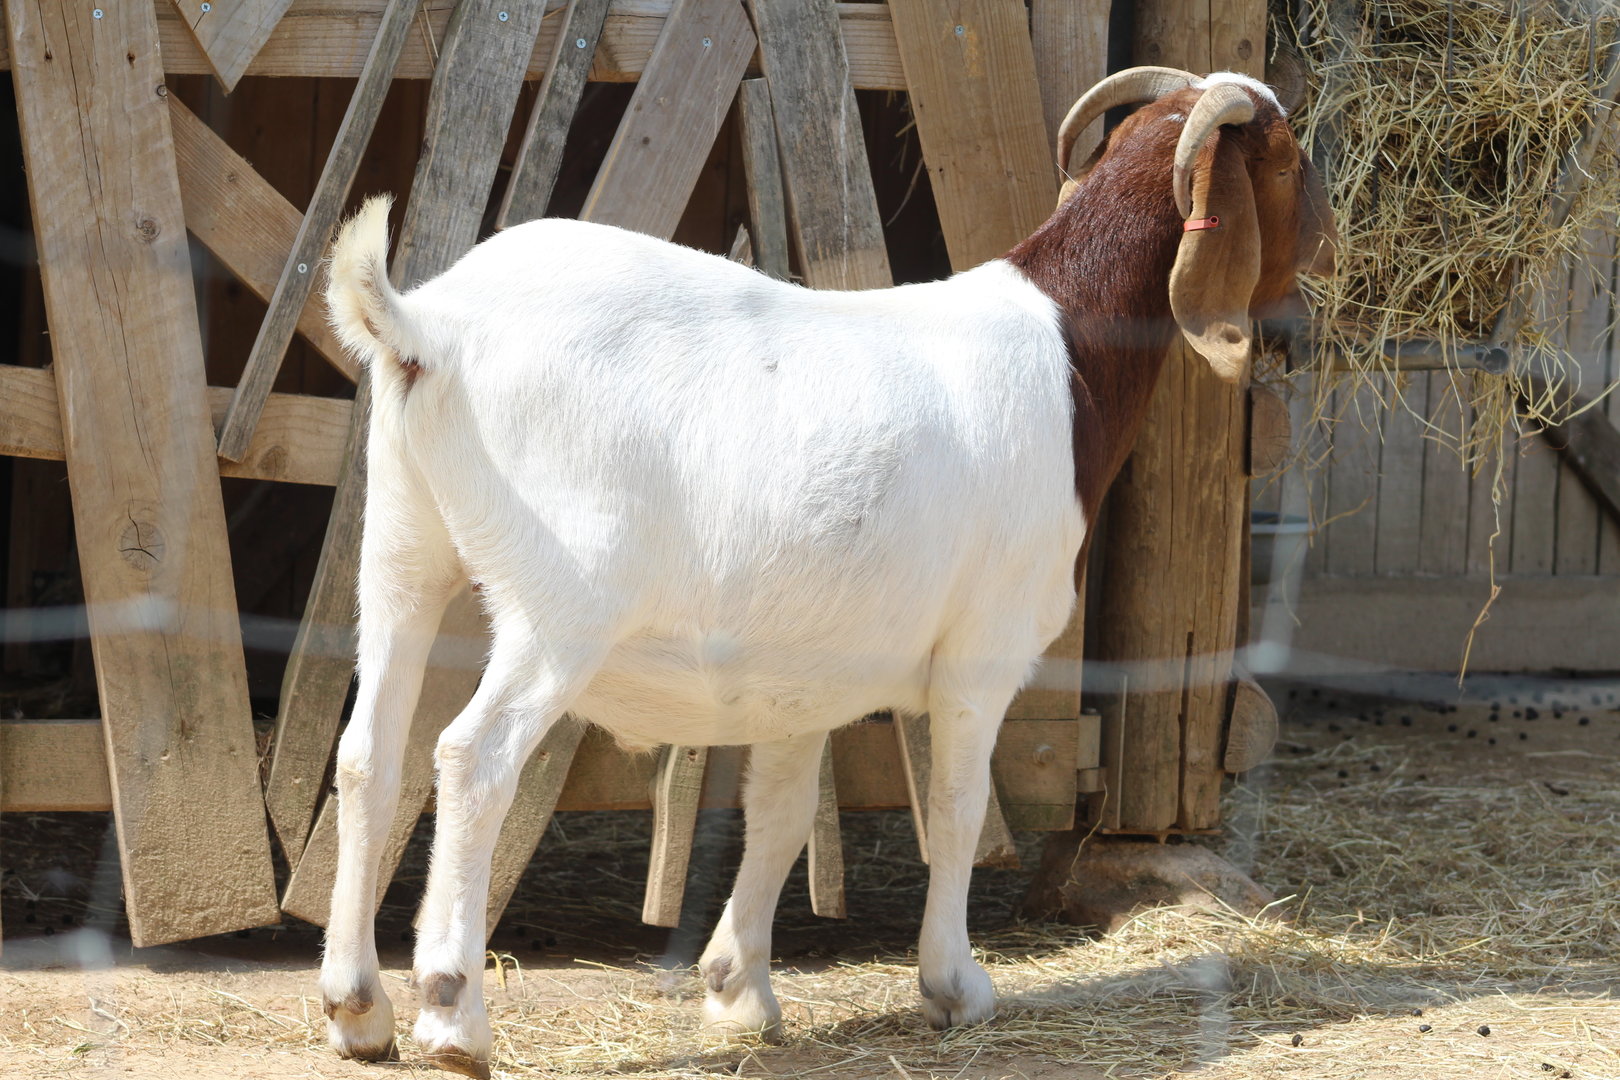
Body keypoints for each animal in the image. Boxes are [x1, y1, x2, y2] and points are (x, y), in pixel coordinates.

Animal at [317, 68, 1335, 1077]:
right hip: (561, 605)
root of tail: (432, 330)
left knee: (370, 754)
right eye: (1288, 162)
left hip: (401, 552)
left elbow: (783, 807)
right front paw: (954, 987)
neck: (1068, 356)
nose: (1321, 268)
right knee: (472, 757)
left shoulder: (803, 674)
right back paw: (453, 1018)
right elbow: (959, 805)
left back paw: (357, 1009)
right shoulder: (984, 650)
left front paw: (739, 990)